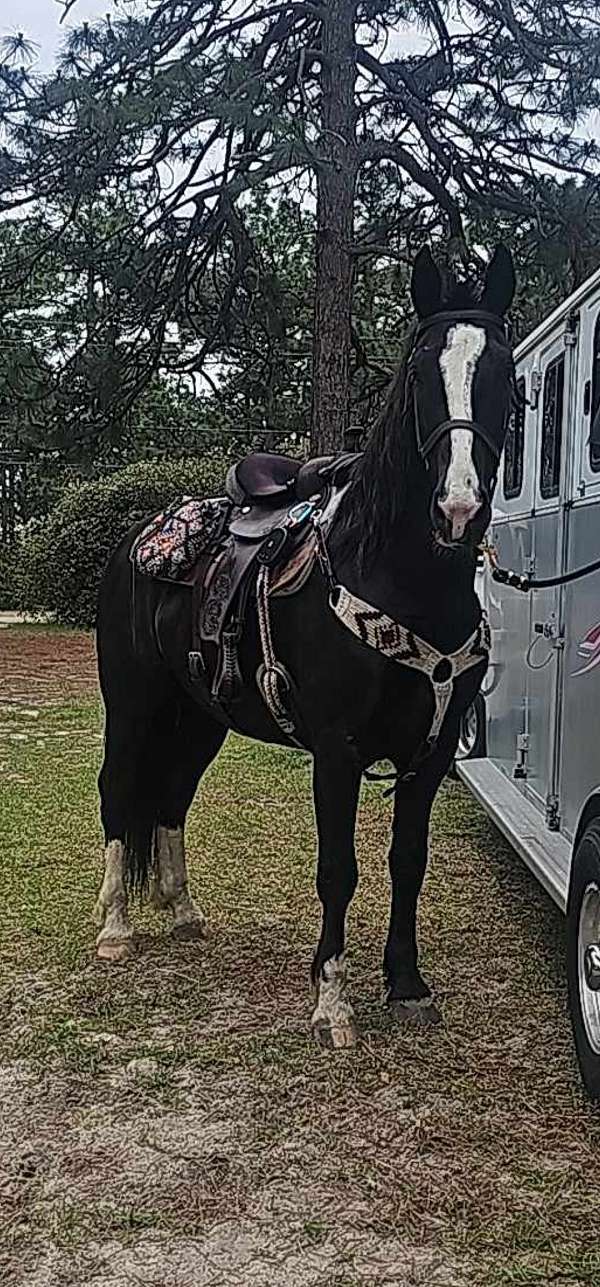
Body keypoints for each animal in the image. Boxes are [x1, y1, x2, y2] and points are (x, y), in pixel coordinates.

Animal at [93, 245, 515, 1050]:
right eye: (420, 374)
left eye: (504, 372)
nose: (457, 508)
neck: (393, 574)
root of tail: (140, 537)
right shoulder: (338, 752)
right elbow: (338, 870)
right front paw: (332, 1002)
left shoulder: (432, 753)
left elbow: (408, 860)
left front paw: (407, 985)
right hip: (132, 708)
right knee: (118, 791)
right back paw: (115, 928)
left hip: (201, 719)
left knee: (172, 796)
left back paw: (183, 911)